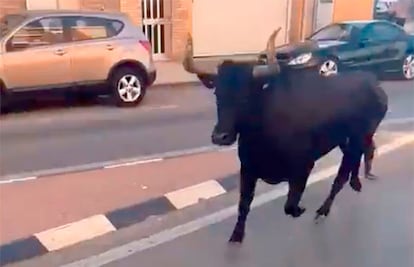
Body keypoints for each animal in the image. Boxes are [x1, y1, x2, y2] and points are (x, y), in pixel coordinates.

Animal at [181, 33, 388, 245]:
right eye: (217, 94)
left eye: (246, 96)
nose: (220, 136)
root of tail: (374, 83)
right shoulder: (247, 169)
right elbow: (244, 204)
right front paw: (236, 235)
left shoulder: (303, 167)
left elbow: (290, 205)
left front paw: (301, 209)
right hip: (346, 140)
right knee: (361, 155)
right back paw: (357, 183)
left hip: (359, 135)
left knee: (343, 174)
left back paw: (323, 210)